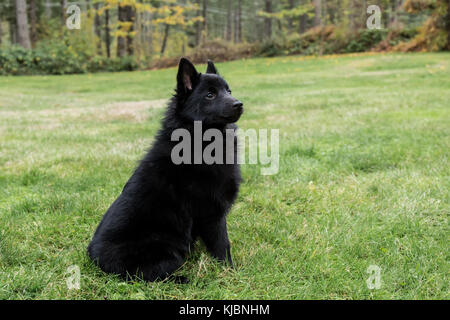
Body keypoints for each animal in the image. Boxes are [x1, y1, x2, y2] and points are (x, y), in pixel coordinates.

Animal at [87, 57, 243, 282]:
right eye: (210, 94)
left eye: (228, 91)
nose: (239, 104)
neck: (198, 141)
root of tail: (96, 260)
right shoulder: (212, 213)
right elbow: (223, 245)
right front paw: (231, 273)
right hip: (166, 247)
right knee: (151, 275)